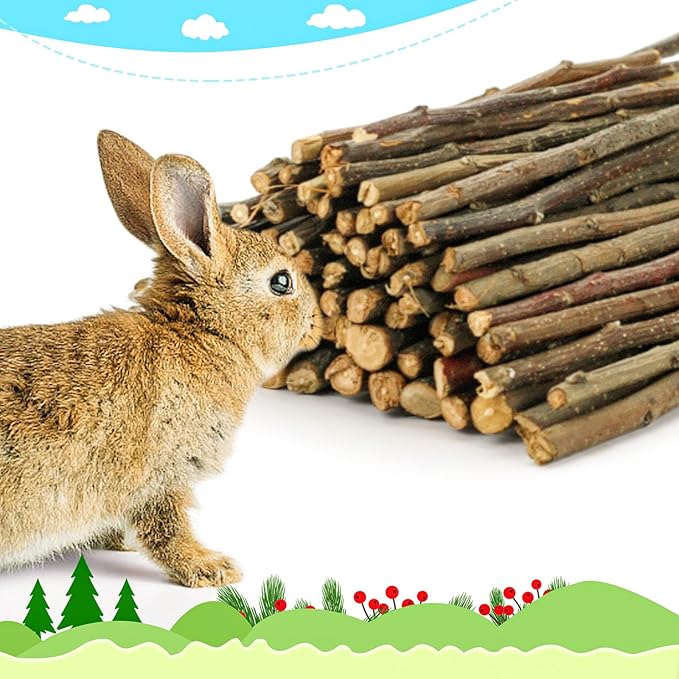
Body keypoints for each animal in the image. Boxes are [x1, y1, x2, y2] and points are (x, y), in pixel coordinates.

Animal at [0, 130, 322, 587]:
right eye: (281, 283)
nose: (317, 323)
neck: (203, 332)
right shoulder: (161, 476)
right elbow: (167, 530)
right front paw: (212, 568)